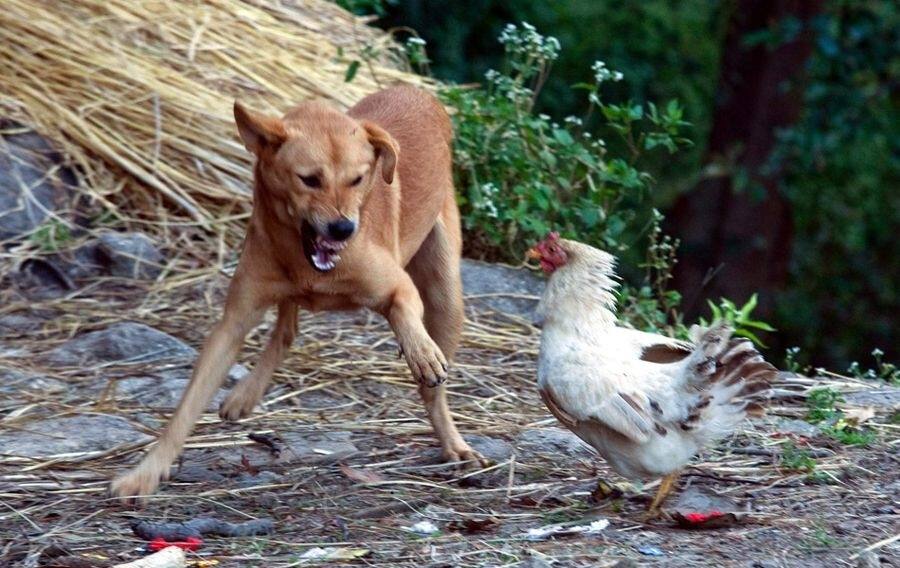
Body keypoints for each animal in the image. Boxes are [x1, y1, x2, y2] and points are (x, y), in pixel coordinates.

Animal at [110, 84, 486, 496]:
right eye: (309, 179)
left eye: (358, 179)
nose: (343, 229)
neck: (306, 261)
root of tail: (418, 90)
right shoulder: (233, 322)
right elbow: (187, 407)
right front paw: (145, 474)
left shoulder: (397, 286)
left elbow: (402, 310)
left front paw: (420, 352)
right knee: (286, 330)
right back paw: (246, 394)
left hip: (446, 300)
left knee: (433, 390)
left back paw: (455, 444)